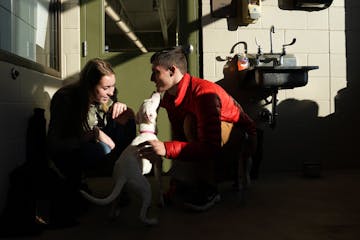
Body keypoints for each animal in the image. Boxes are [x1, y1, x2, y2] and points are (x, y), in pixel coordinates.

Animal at [81, 91, 164, 225]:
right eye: (150, 101)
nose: (155, 91)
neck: (146, 131)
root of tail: (122, 176)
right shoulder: (158, 163)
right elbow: (160, 183)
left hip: (118, 188)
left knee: (114, 204)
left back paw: (114, 214)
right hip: (145, 187)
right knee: (141, 214)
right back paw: (150, 220)